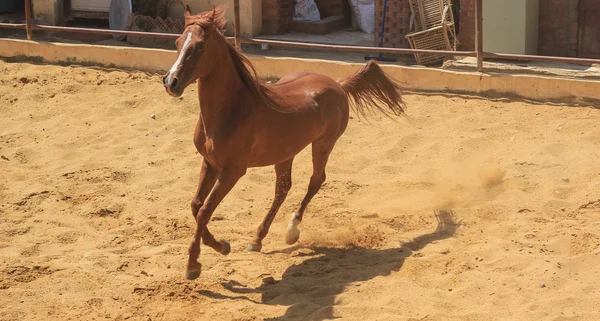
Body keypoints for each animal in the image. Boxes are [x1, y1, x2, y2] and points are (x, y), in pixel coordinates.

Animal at [161, 5, 404, 280]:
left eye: (199, 46)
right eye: (177, 43)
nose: (170, 82)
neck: (232, 109)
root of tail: (339, 85)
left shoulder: (232, 171)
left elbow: (204, 210)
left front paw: (195, 263)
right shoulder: (210, 163)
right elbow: (196, 206)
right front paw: (220, 246)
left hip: (323, 145)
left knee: (315, 181)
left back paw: (291, 230)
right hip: (285, 153)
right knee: (283, 188)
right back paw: (256, 240)